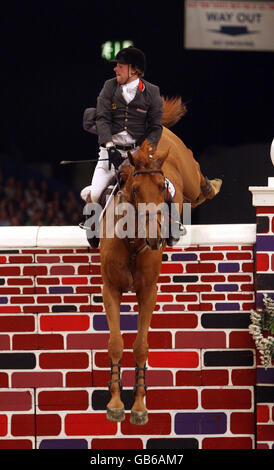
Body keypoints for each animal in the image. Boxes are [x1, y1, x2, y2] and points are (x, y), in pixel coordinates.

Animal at [98, 97, 223, 424]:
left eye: (162, 188)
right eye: (134, 189)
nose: (155, 238)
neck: (132, 242)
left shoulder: (148, 291)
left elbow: (141, 346)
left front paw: (140, 405)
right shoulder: (110, 289)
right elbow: (116, 342)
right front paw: (115, 402)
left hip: (187, 174)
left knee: (197, 180)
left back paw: (212, 184)